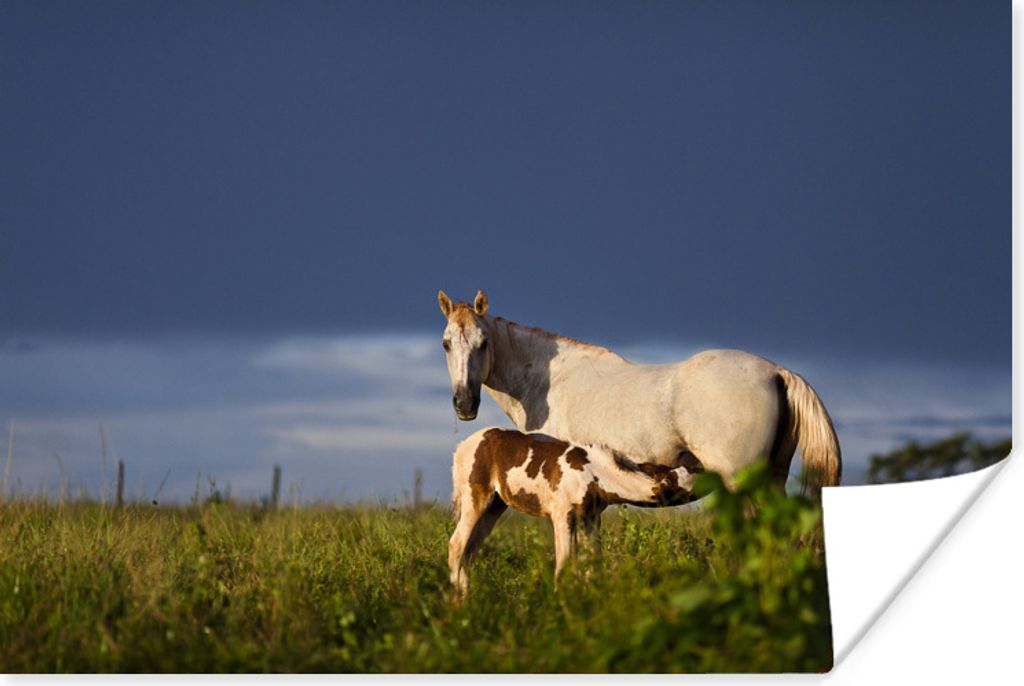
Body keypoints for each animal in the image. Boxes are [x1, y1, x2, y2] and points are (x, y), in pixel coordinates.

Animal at [448, 427, 698, 594]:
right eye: (683, 474)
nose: (704, 470)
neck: (594, 473)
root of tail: (460, 447)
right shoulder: (562, 515)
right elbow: (565, 562)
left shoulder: (590, 517)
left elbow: (592, 561)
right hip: (476, 500)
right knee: (457, 544)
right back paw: (458, 602)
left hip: (494, 506)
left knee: (470, 549)